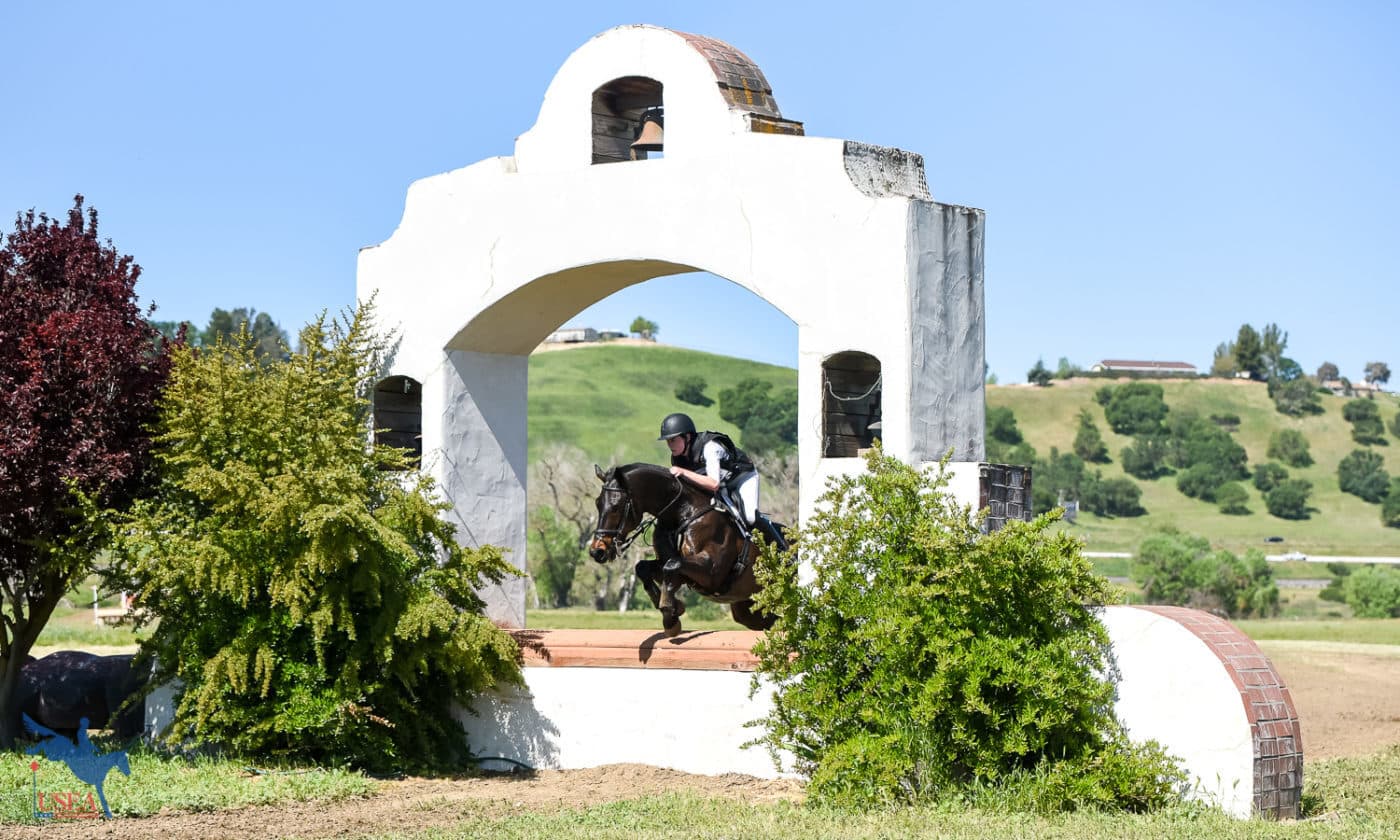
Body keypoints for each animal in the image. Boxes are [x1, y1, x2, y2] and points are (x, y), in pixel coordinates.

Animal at [588, 462, 787, 637]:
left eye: (616, 507)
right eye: (597, 503)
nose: (597, 551)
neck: (683, 514)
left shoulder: (713, 573)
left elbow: (672, 566)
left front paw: (670, 618)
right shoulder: (677, 568)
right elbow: (645, 568)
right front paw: (672, 606)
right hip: (746, 608)